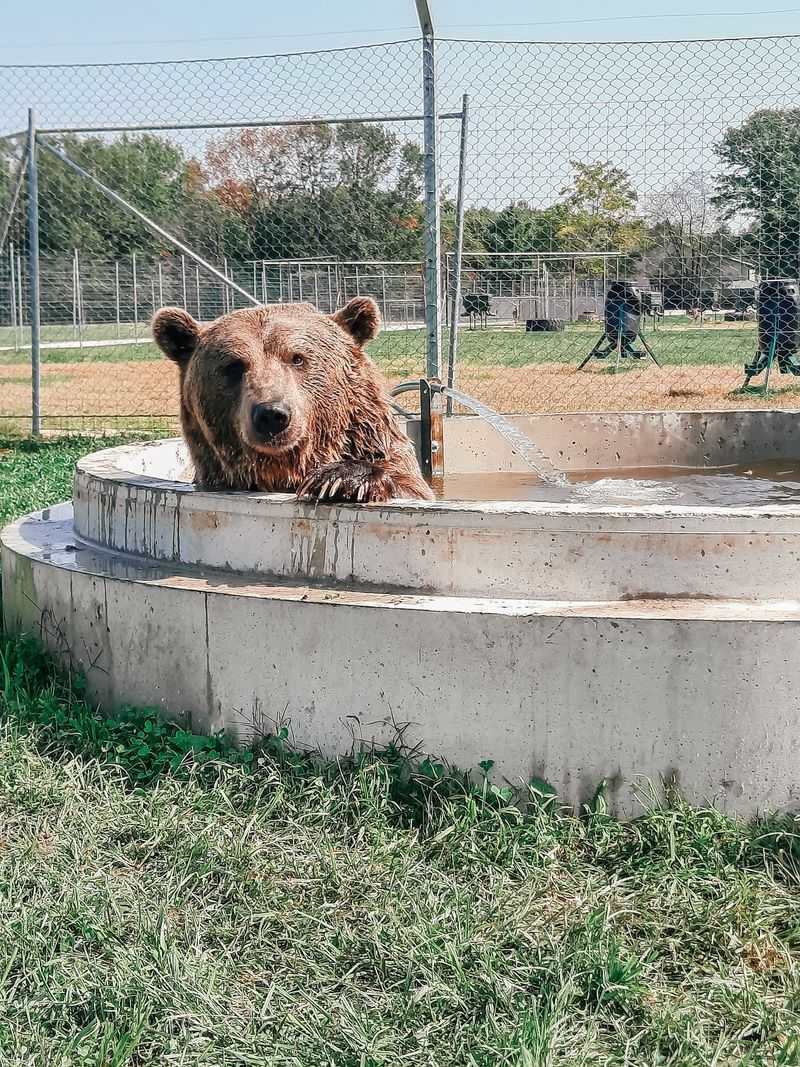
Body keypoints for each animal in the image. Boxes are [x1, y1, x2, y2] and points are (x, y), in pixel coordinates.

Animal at [152, 297, 434, 503]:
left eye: (297, 358)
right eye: (234, 365)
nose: (271, 414)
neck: (288, 467)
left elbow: (410, 486)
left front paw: (341, 480)